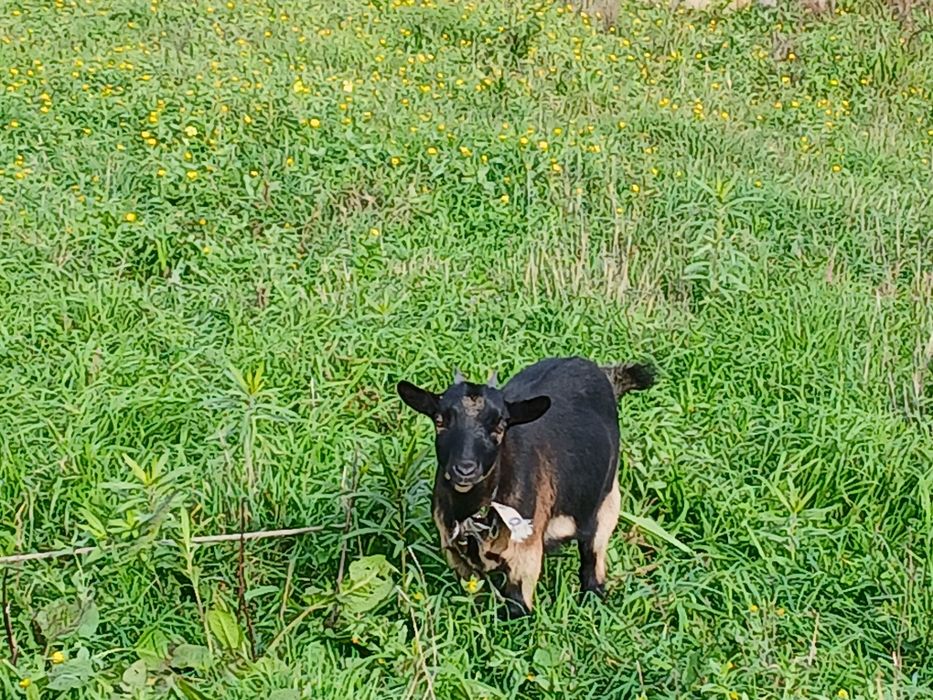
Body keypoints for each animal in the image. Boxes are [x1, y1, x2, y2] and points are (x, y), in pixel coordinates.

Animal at [396, 356, 655, 617]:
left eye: (500, 426)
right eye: (440, 421)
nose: (465, 469)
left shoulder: (525, 556)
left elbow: (517, 608)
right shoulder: (456, 556)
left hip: (607, 502)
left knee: (593, 563)